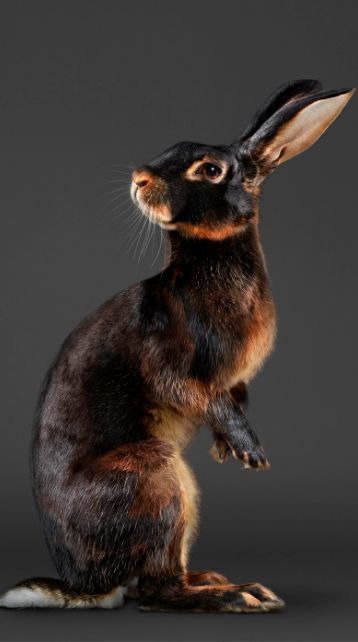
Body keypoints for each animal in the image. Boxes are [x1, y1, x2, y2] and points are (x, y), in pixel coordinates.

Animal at [0, 79, 352, 608]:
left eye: (209, 169)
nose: (139, 179)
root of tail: (88, 584)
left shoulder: (234, 380)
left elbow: (231, 397)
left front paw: (228, 449)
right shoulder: (170, 360)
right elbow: (192, 391)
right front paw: (250, 451)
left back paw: (221, 582)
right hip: (156, 481)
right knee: (156, 588)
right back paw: (238, 596)